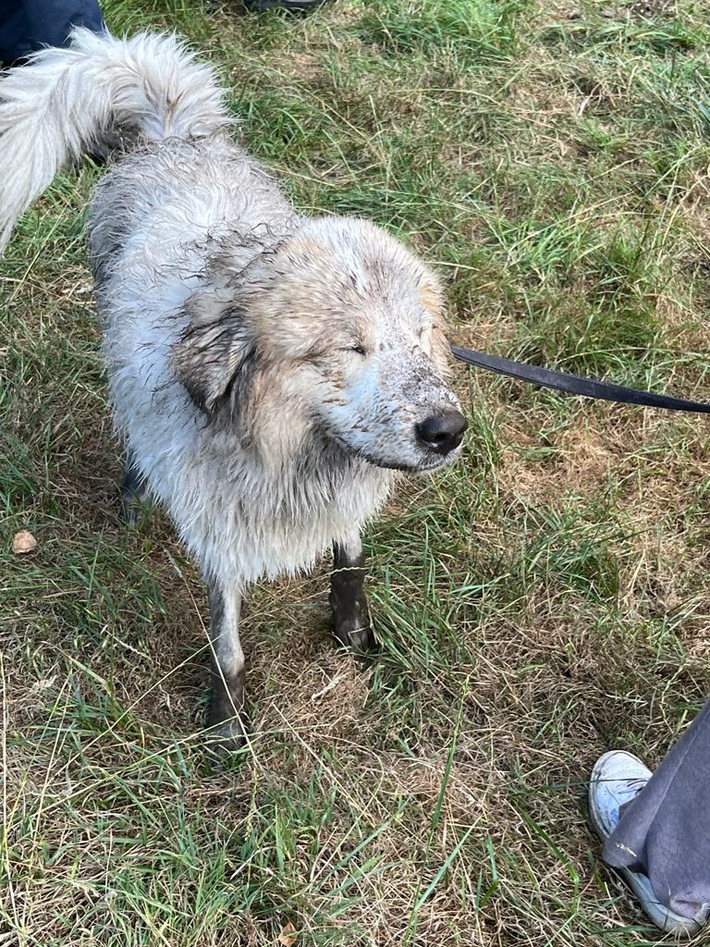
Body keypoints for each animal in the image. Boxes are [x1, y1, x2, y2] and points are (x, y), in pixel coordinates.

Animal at [0, 29, 468, 748]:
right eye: (350, 346)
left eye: (421, 336)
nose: (448, 431)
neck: (293, 458)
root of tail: (173, 136)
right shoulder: (218, 525)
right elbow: (226, 641)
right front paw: (226, 722)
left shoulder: (338, 502)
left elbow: (350, 558)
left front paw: (353, 630)